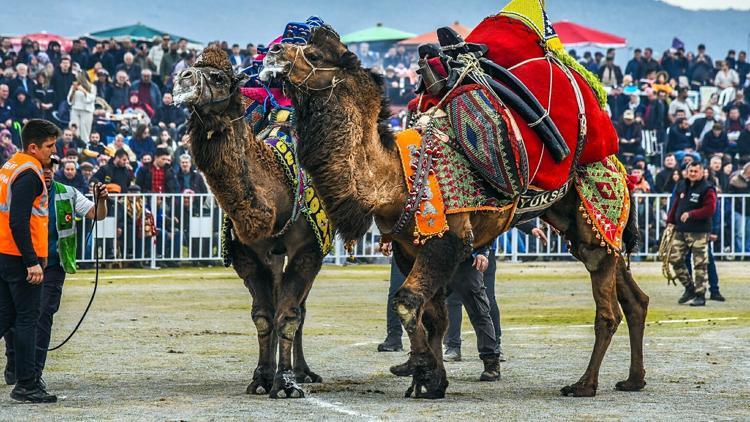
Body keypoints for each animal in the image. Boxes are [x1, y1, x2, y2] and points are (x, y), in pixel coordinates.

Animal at [175, 47, 328, 398]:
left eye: (219, 77)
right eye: (191, 66)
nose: (181, 79)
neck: (278, 192)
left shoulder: (309, 249)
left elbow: (288, 315)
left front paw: (285, 383)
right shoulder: (246, 253)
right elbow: (263, 315)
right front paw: (262, 377)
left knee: (300, 307)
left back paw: (303, 373)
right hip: (273, 255)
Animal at [264, 26, 652, 398]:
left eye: (313, 54)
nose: (272, 52)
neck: (395, 176)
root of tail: (618, 163)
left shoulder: (448, 239)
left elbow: (407, 302)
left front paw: (422, 370)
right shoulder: (409, 247)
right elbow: (433, 316)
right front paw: (432, 381)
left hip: (597, 210)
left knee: (608, 311)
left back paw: (584, 385)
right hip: (583, 224)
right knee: (634, 298)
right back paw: (633, 380)